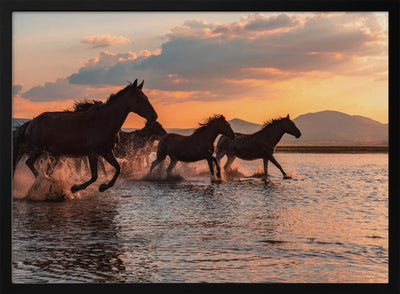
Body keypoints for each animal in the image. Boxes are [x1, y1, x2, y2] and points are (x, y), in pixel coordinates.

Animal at [14, 79, 158, 193]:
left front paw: (103, 186)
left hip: (53, 154)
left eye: (146, 97)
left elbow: (117, 168)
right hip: (38, 149)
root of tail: (31, 122)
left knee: (43, 169)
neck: (104, 121)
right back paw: (45, 182)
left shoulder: (106, 151)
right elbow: (94, 176)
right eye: (140, 98)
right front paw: (75, 188)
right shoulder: (92, 153)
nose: (154, 116)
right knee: (29, 163)